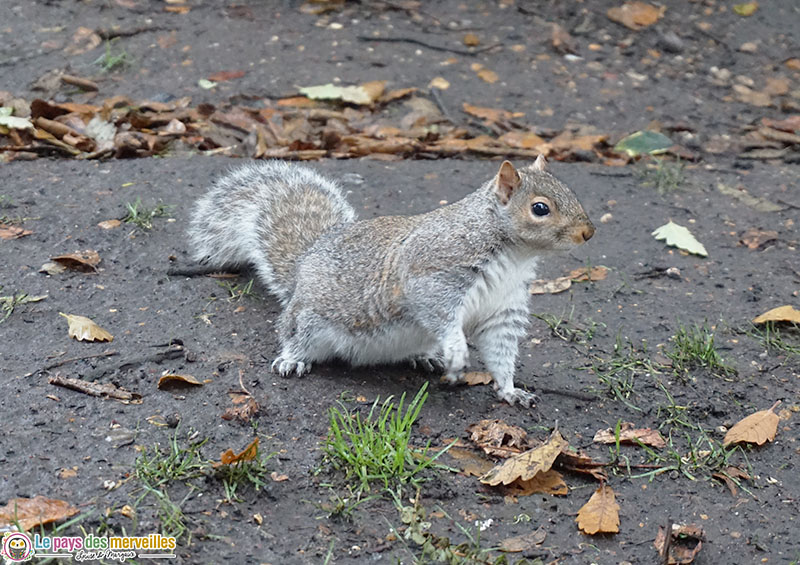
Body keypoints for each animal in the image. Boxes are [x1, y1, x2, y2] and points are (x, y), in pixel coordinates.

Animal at [189, 156, 592, 406]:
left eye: (572, 192)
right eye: (540, 208)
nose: (588, 233)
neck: (514, 256)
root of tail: (307, 261)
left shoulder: (503, 309)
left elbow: (501, 351)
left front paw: (510, 390)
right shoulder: (433, 276)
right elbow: (441, 315)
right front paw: (457, 351)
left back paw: (424, 356)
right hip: (309, 319)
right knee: (293, 335)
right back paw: (292, 359)